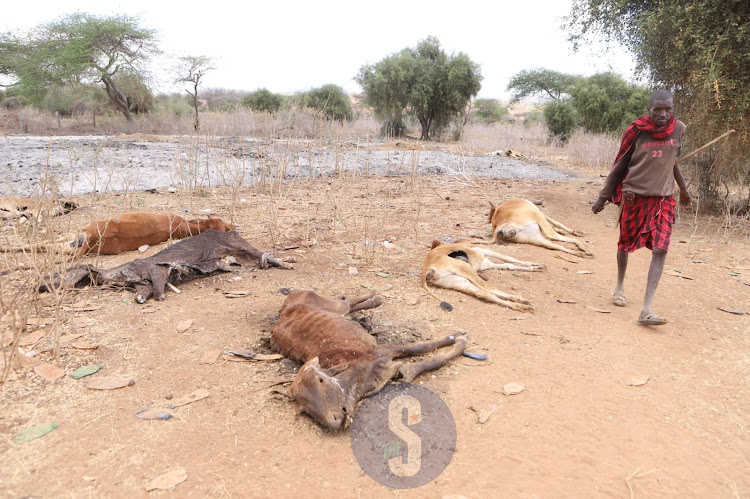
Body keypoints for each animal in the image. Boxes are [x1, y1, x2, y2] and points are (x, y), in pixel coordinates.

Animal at [40, 229, 294, 302]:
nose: (42, 285)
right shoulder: (143, 281)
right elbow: (144, 291)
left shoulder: (156, 270)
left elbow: (158, 282)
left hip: (240, 245)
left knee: (263, 255)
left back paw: (285, 263)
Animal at [270, 292, 470, 432]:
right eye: (305, 409)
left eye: (321, 381)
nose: (333, 422)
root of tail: (283, 310)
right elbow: (415, 366)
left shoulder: (383, 351)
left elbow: (424, 348)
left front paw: (458, 338)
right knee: (349, 304)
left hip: (333, 306)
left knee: (347, 302)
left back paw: (374, 297)